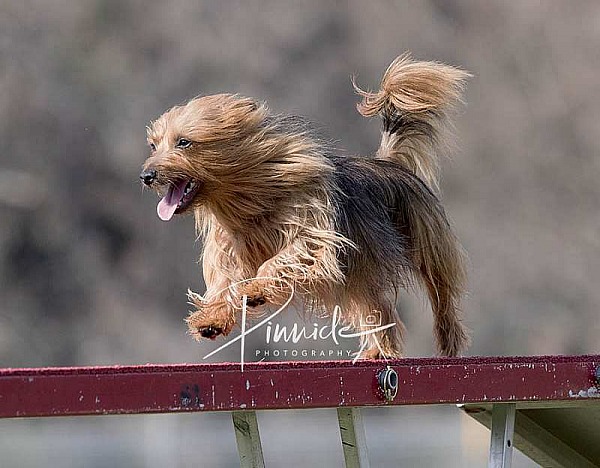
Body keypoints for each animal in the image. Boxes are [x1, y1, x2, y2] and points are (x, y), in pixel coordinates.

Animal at [139, 53, 468, 358]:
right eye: (154, 145)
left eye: (184, 142)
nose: (146, 176)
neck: (246, 201)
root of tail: (389, 163)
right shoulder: (228, 250)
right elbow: (225, 281)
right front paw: (213, 317)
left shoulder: (313, 233)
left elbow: (284, 258)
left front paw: (255, 290)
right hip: (360, 274)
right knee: (378, 309)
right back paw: (377, 351)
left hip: (426, 242)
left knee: (441, 292)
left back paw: (447, 339)